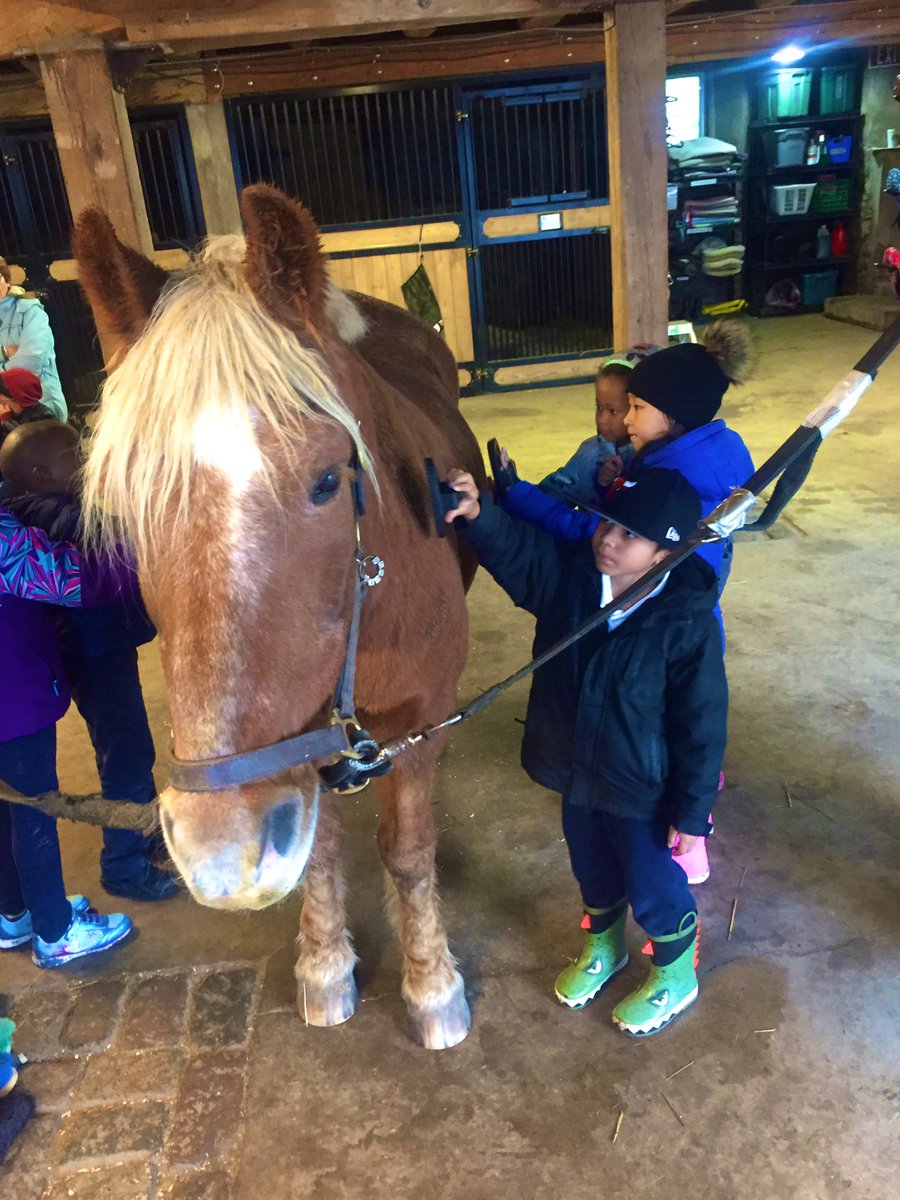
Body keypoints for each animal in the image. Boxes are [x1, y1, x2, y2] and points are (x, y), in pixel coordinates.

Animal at [75, 187, 487, 1051]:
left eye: (328, 480)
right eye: (128, 503)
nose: (218, 852)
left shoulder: (424, 717)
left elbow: (408, 851)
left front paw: (432, 983)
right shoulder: (296, 749)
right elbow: (321, 849)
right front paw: (326, 965)